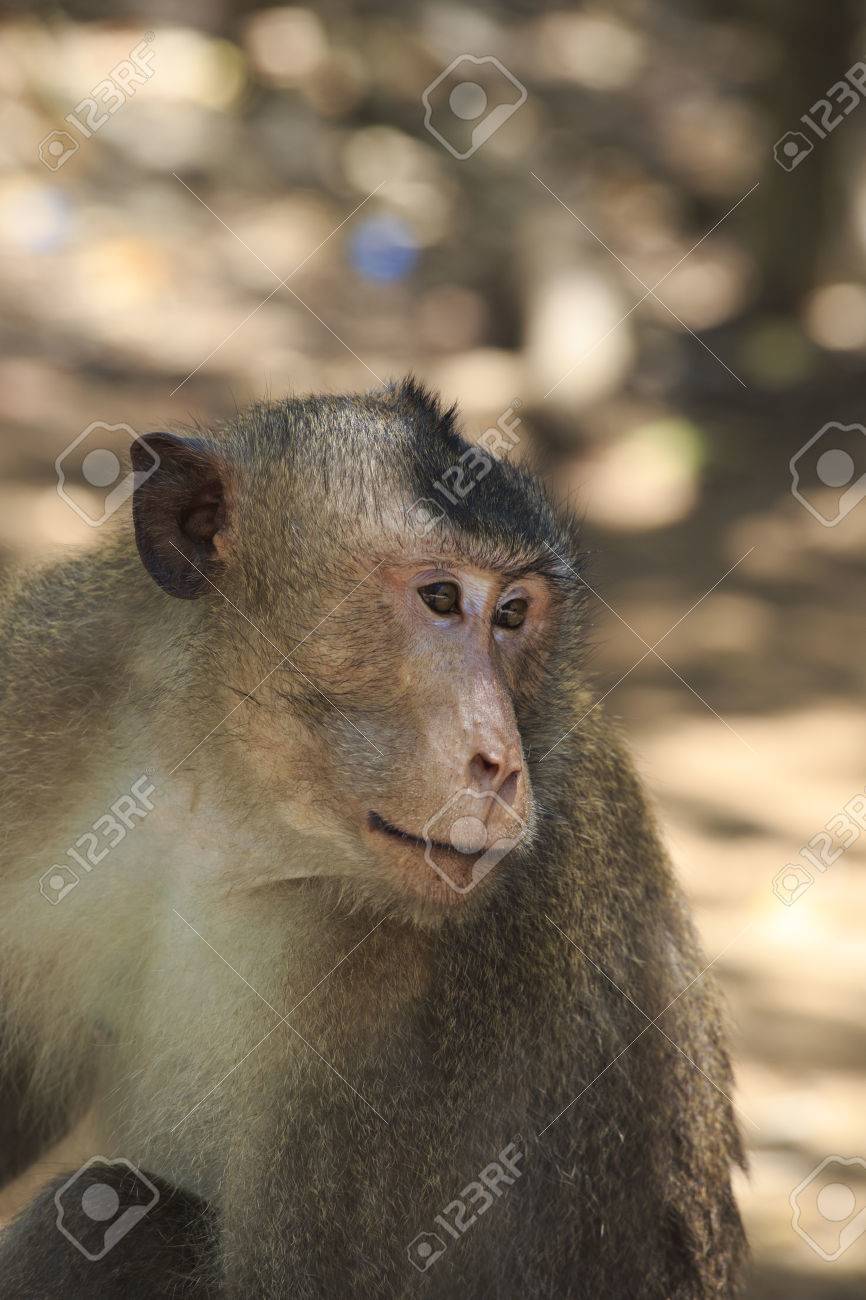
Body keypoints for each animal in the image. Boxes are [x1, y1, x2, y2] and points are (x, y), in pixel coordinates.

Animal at [0, 378, 746, 1297]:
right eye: (440, 598)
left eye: (512, 613)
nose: (499, 764)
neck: (228, 815)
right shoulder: (45, 689)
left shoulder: (435, 1004)